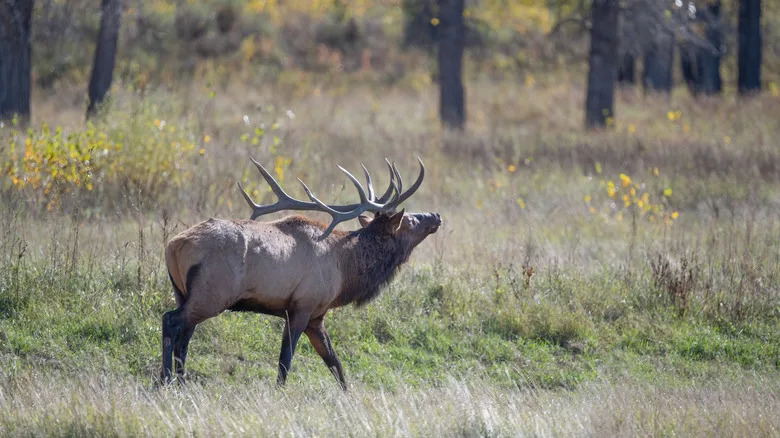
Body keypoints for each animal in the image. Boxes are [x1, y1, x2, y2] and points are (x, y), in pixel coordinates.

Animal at [161, 157, 441, 389]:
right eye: (410, 220)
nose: (436, 215)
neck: (345, 270)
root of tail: (174, 245)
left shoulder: (317, 316)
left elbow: (335, 363)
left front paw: (348, 396)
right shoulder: (302, 306)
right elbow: (286, 361)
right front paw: (280, 392)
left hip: (183, 293)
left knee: (184, 337)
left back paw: (180, 382)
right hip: (213, 294)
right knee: (171, 321)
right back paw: (164, 379)